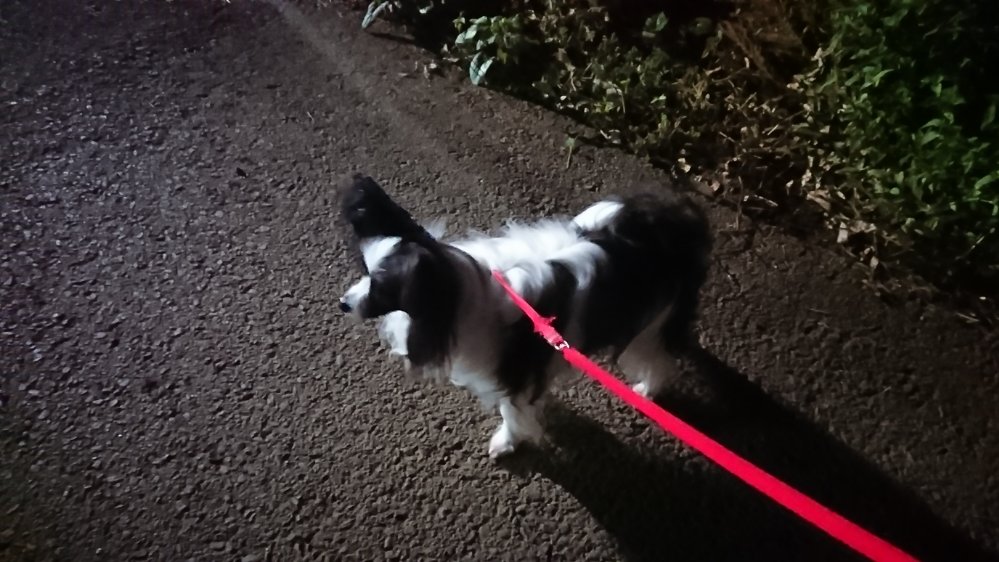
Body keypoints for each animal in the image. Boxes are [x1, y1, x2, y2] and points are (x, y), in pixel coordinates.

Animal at [338, 174, 711, 458]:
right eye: (366, 272)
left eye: (382, 290)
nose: (343, 304)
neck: (459, 288)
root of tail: (676, 227)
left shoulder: (517, 373)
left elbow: (511, 412)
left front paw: (506, 443)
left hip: (650, 325)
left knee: (660, 357)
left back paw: (647, 390)